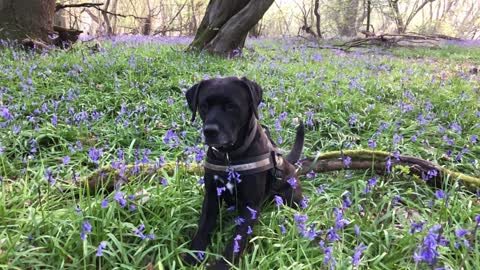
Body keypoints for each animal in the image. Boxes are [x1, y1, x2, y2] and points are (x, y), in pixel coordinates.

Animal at [184, 76, 304, 270]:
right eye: (204, 106)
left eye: (231, 106)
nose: (209, 131)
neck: (230, 157)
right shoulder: (211, 196)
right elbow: (203, 228)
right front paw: (193, 255)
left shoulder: (250, 206)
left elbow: (236, 241)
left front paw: (222, 265)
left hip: (290, 197)